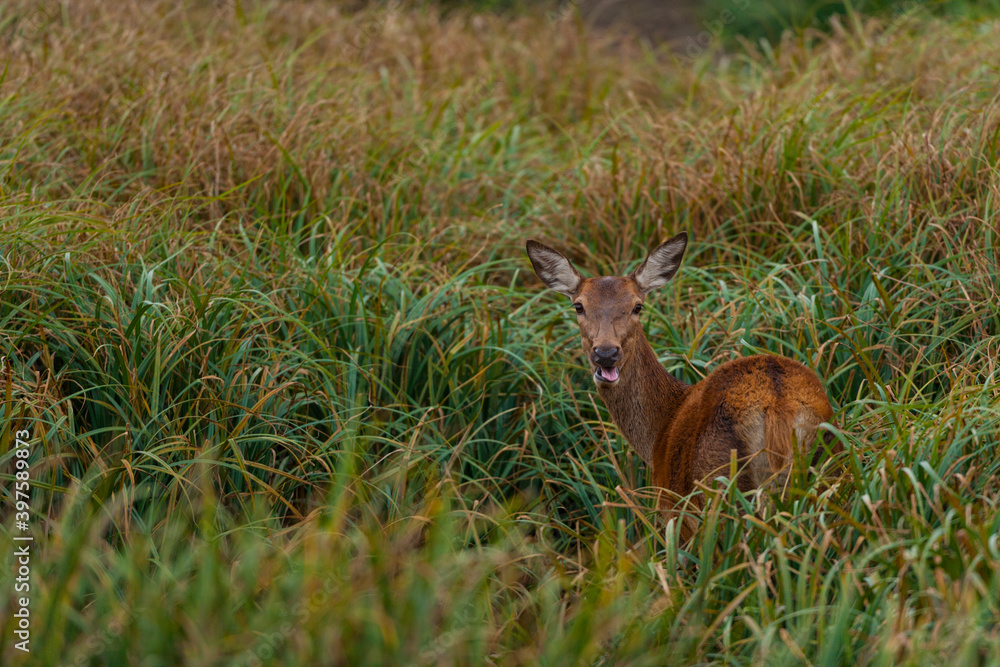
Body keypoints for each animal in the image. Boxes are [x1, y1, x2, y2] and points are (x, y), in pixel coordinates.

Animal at [526, 232, 839, 538]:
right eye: (578, 305)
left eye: (637, 306)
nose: (605, 353)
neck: (660, 429)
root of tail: (777, 404)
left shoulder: (671, 508)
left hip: (716, 487)